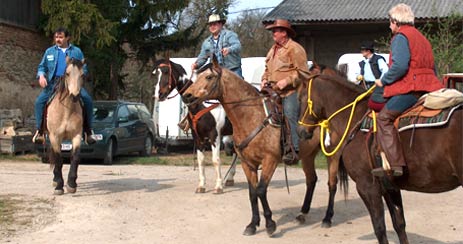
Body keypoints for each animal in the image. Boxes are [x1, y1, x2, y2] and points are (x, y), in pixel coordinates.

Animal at [46, 56, 86, 194]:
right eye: (67, 73)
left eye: (82, 75)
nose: (75, 96)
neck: (66, 110)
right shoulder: (54, 137)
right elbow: (58, 159)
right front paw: (59, 185)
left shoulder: (77, 135)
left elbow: (75, 157)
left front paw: (71, 184)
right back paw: (55, 180)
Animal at [153, 58, 236, 193]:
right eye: (155, 74)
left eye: (166, 72)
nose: (158, 95)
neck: (201, 104)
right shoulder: (197, 136)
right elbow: (201, 160)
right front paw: (201, 186)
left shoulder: (214, 135)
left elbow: (216, 160)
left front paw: (218, 186)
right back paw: (230, 178)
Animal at [298, 75, 463, 243]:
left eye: (300, 98)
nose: (301, 131)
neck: (355, 118)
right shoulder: (389, 187)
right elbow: (399, 224)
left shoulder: (367, 187)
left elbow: (379, 228)